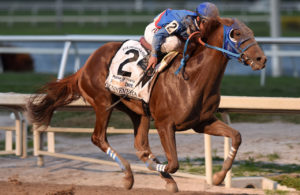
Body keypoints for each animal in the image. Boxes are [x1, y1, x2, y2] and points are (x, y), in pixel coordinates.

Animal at [27, 16, 264, 192]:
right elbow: (173, 163)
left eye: (250, 30)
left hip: (138, 111)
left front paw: (217, 177)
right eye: (236, 33)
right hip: (103, 103)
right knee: (99, 138)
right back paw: (128, 176)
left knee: (140, 147)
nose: (262, 59)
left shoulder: (202, 122)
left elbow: (236, 136)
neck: (193, 78)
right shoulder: (164, 124)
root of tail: (85, 66)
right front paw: (164, 172)